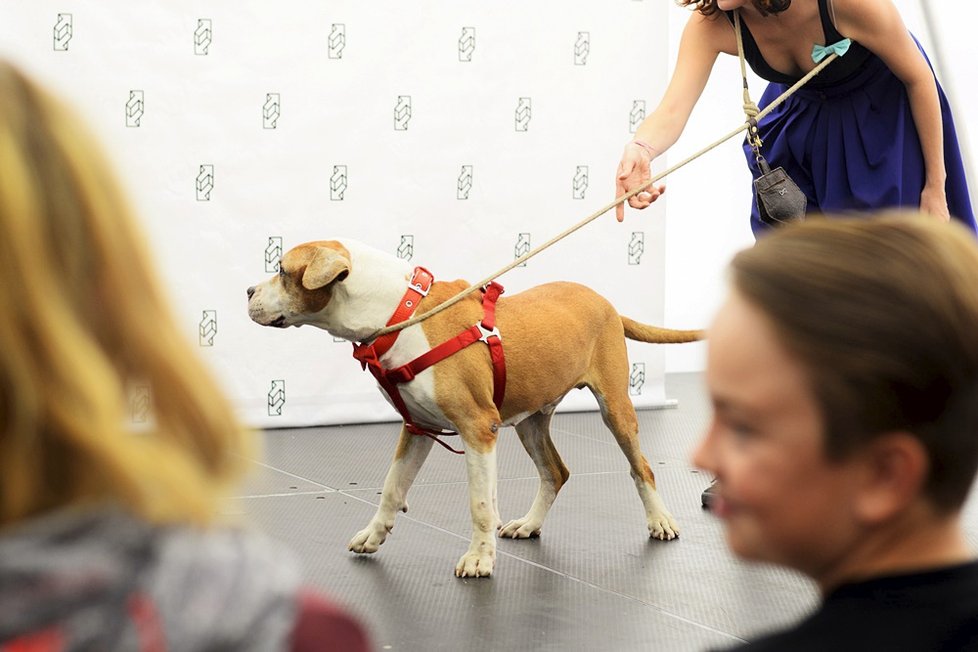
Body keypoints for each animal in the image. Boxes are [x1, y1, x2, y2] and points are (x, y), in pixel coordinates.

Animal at [244, 238, 700, 576]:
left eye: (282, 270)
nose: (247, 291)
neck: (398, 312)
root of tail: (605, 302)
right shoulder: (418, 428)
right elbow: (392, 487)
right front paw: (374, 534)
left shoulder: (478, 429)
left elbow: (480, 504)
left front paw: (480, 557)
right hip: (530, 421)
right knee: (555, 471)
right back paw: (530, 524)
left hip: (615, 408)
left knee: (641, 467)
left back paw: (659, 521)